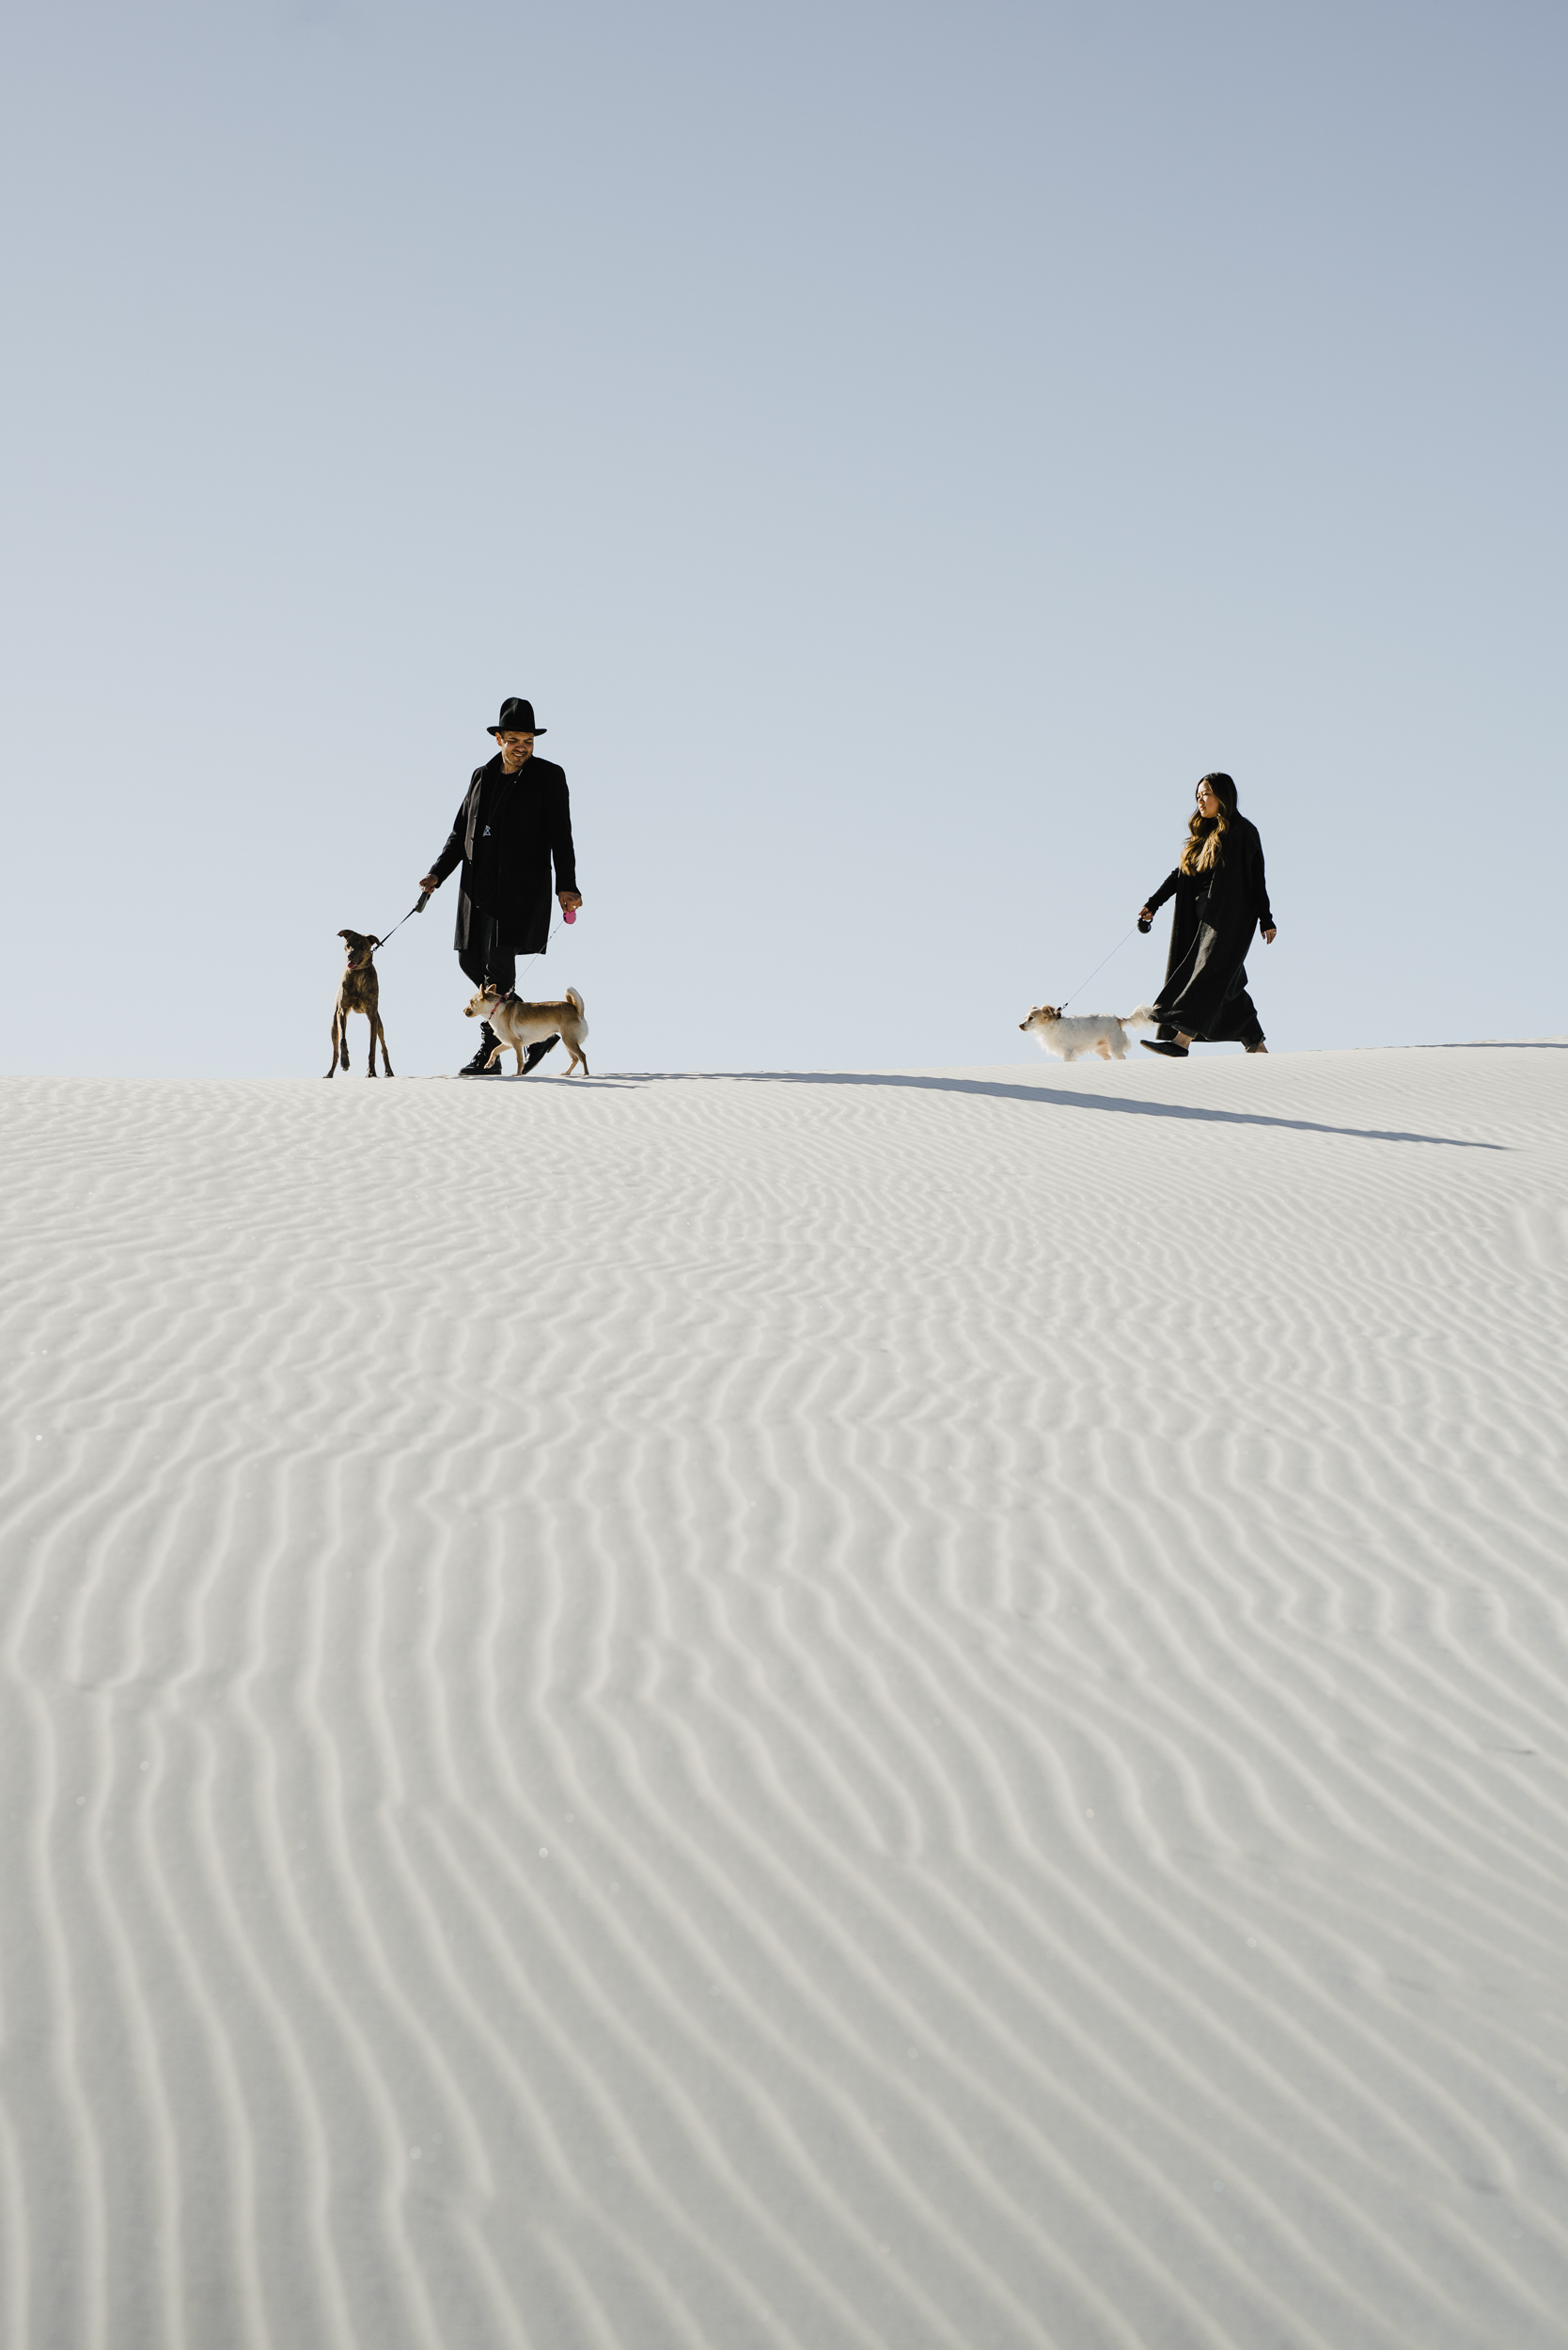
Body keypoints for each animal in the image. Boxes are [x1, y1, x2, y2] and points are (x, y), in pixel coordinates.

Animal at [326, 935, 395, 1081]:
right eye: (348, 944)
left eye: (363, 947)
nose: (350, 955)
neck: (358, 973)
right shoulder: (342, 1012)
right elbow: (343, 1039)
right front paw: (345, 1062)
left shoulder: (372, 1016)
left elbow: (372, 1048)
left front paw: (371, 1072)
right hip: (333, 1026)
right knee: (335, 1051)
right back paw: (329, 1073)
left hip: (379, 1023)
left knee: (383, 1047)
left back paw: (389, 1071)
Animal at [465, 982, 594, 1076]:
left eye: (471, 1002)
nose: (464, 1010)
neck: (495, 1009)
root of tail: (576, 1009)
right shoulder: (508, 1043)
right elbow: (494, 1050)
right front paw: (489, 1063)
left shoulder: (516, 1043)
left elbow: (519, 1060)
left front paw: (518, 1074)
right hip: (567, 1042)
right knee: (575, 1059)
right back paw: (567, 1073)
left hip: (569, 1041)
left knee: (582, 1056)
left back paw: (585, 1073)